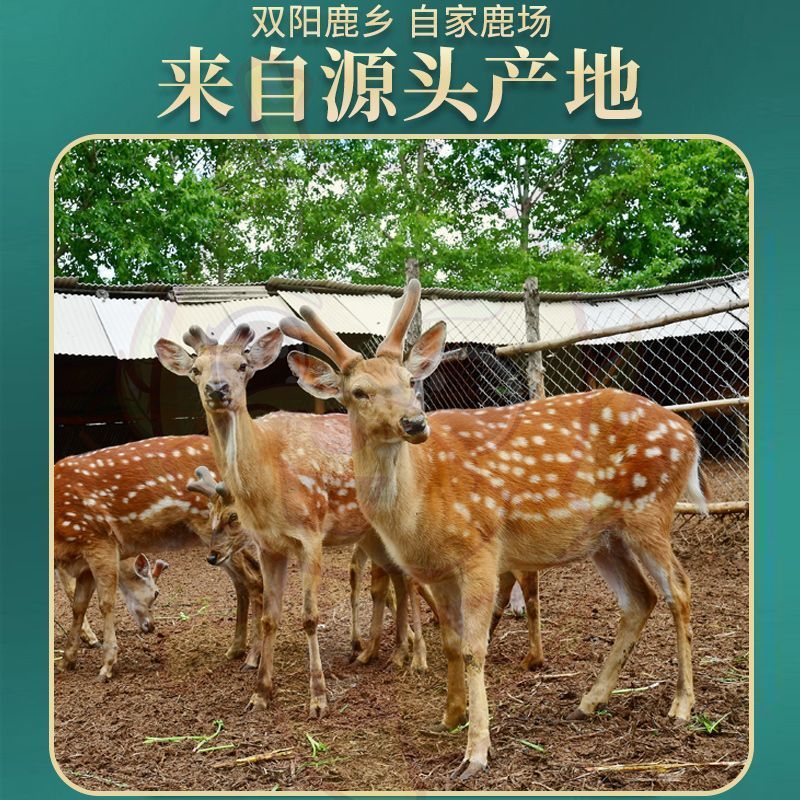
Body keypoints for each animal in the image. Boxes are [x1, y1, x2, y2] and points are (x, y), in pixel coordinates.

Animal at [54, 436, 263, 679]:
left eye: (157, 593)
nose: (151, 627)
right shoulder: (85, 558)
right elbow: (78, 605)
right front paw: (66, 661)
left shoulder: (98, 539)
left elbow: (105, 603)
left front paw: (106, 666)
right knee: (245, 580)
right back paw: (235, 650)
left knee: (254, 579)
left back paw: (252, 659)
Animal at [155, 326, 431, 718]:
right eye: (196, 369)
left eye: (242, 365)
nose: (218, 389)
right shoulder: (270, 545)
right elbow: (270, 616)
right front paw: (259, 693)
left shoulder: (311, 534)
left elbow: (309, 617)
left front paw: (318, 698)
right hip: (371, 534)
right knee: (396, 578)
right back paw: (387, 652)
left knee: (410, 577)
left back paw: (416, 657)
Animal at [280, 278, 705, 780]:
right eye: (359, 392)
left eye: (409, 382)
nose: (414, 423)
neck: (416, 510)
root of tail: (689, 435)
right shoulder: (436, 571)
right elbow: (450, 641)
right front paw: (449, 717)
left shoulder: (480, 550)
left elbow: (474, 648)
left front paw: (476, 752)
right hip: (607, 537)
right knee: (641, 598)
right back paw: (589, 700)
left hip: (651, 509)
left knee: (680, 588)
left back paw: (682, 705)